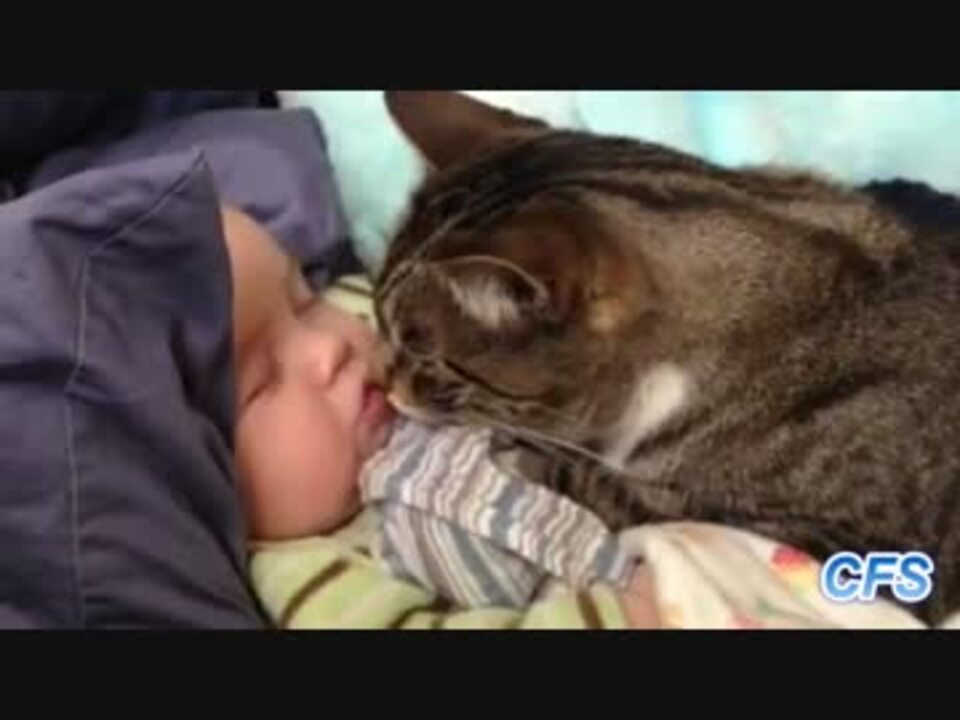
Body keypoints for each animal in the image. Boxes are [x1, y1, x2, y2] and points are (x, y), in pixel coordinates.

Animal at [372, 90, 960, 625]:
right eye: (379, 321)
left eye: (425, 356)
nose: (384, 383)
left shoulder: (855, 548)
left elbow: (641, 500)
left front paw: (524, 457)